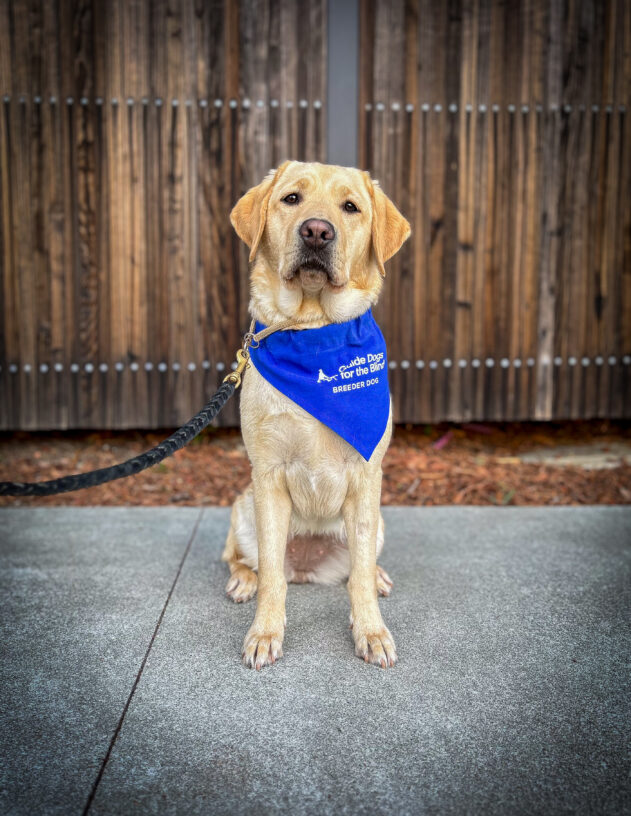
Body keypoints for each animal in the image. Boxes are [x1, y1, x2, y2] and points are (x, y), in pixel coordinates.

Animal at [222, 159, 410, 668]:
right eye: (292, 199)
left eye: (351, 207)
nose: (317, 231)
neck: (313, 327)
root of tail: (305, 568)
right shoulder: (268, 474)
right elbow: (271, 576)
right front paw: (265, 632)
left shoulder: (367, 477)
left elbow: (358, 576)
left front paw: (371, 631)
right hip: (242, 508)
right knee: (247, 561)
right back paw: (243, 580)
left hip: (378, 521)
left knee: (359, 567)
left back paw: (379, 577)